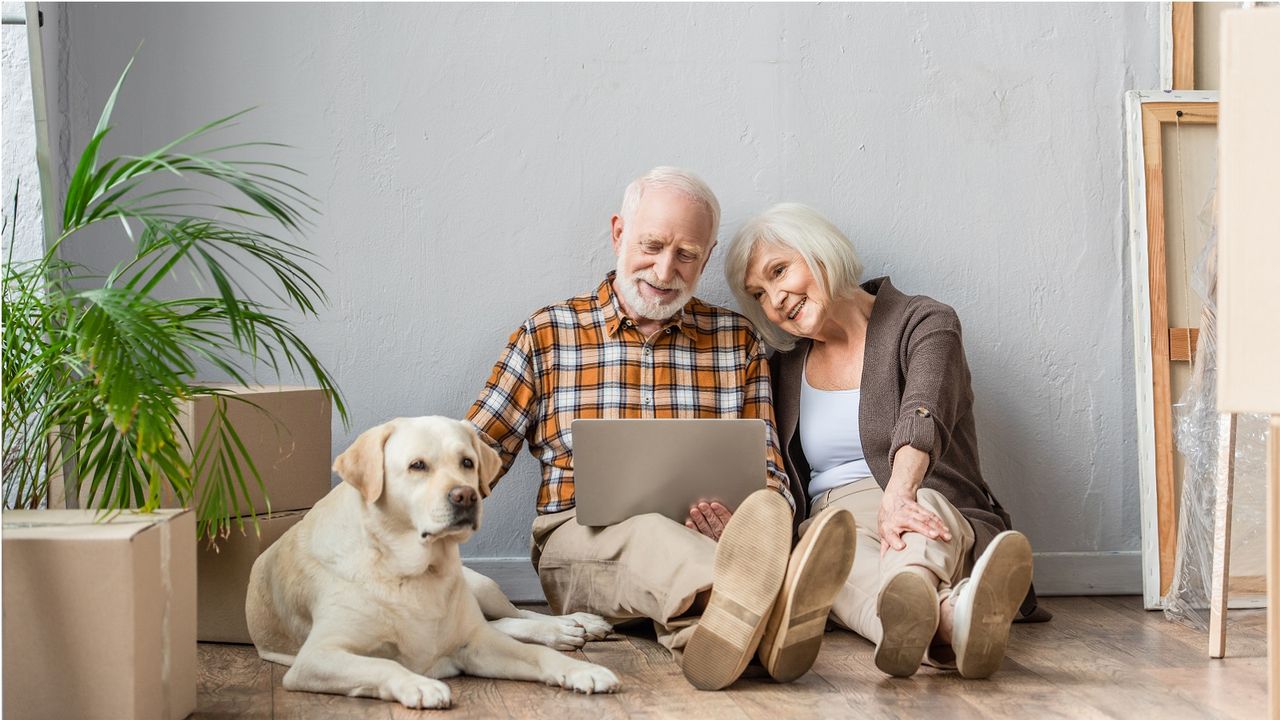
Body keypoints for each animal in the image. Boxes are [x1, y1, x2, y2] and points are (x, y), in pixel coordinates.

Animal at [247, 415, 622, 707]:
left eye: (467, 462)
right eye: (417, 466)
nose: (466, 496)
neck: (411, 570)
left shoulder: (478, 644)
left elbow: (537, 654)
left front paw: (584, 670)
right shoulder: (316, 656)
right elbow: (383, 665)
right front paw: (420, 684)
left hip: (480, 586)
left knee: (516, 615)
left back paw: (573, 625)